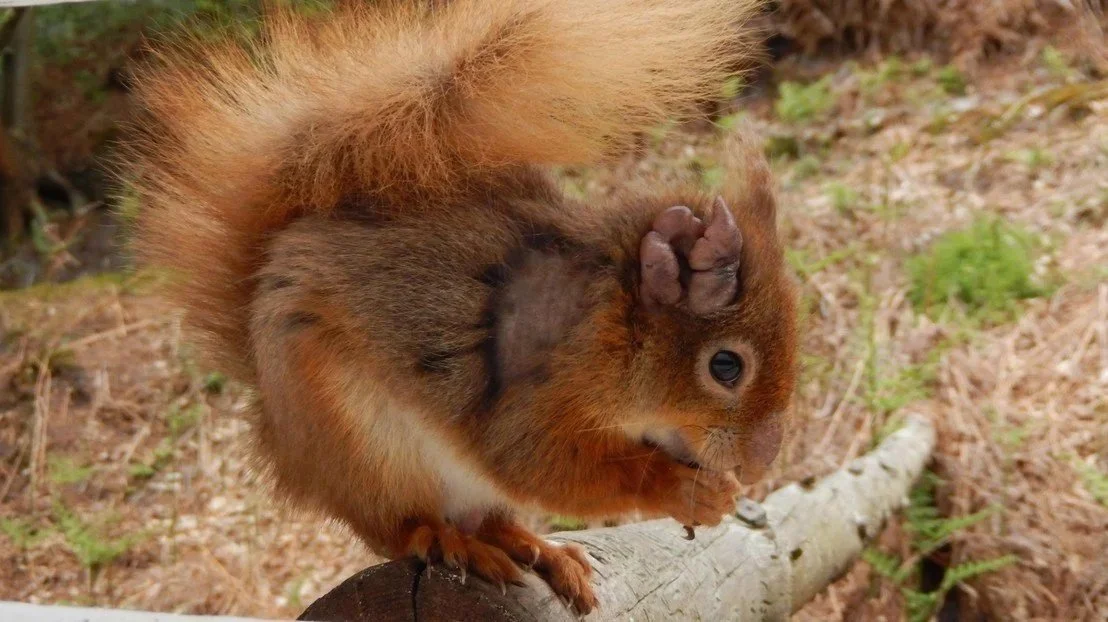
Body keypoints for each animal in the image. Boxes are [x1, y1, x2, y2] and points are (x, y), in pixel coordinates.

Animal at [122, 0, 797, 613]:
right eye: (726, 366)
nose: (761, 462)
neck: (611, 320)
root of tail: (280, 433)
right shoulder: (532, 398)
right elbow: (542, 464)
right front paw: (685, 491)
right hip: (361, 443)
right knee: (397, 528)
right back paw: (449, 541)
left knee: (488, 516)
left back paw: (537, 548)